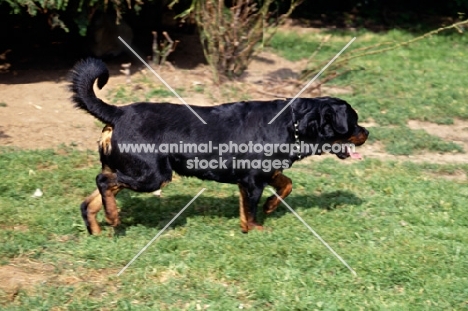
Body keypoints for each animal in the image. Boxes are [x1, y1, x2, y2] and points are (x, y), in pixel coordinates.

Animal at [69, 58, 370, 234]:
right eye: (353, 122)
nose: (366, 132)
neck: (294, 123)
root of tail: (118, 113)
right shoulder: (253, 181)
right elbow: (251, 210)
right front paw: (256, 228)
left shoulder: (261, 174)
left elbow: (286, 184)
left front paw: (271, 206)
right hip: (152, 174)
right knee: (104, 182)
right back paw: (113, 217)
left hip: (130, 169)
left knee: (91, 198)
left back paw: (98, 227)